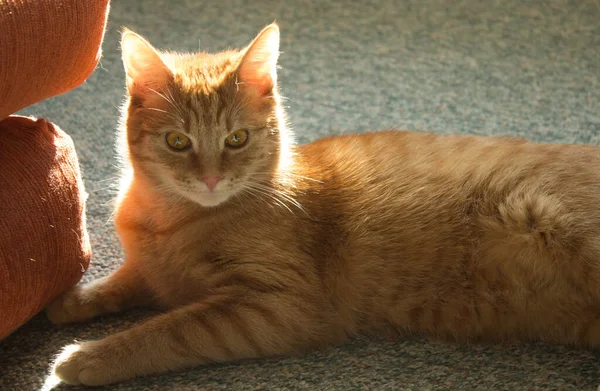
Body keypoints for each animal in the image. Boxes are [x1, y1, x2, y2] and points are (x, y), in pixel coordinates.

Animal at [48, 23, 600, 386]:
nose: (210, 179)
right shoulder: (156, 272)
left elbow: (167, 330)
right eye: (178, 142)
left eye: (237, 139)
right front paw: (75, 300)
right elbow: (125, 282)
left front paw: (87, 358)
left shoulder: (276, 307)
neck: (169, 220)